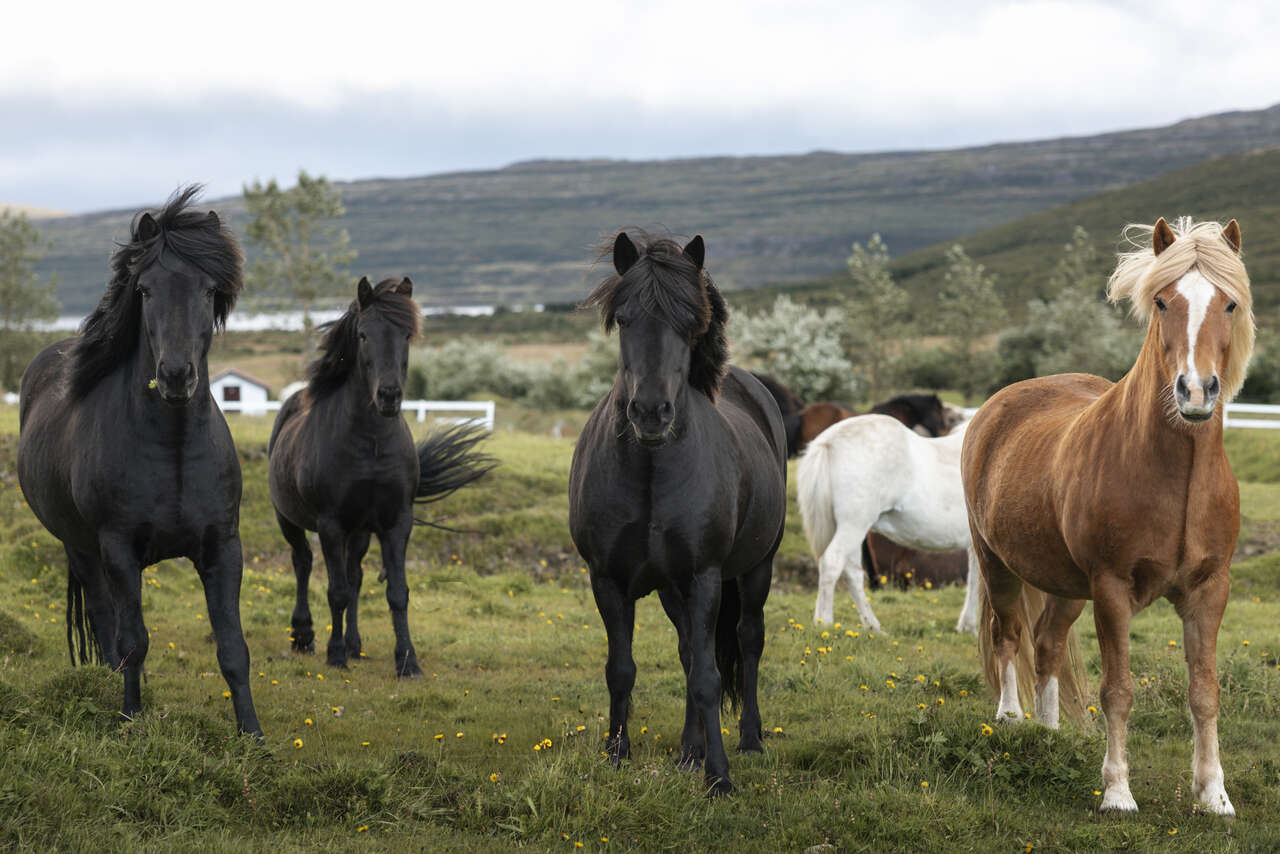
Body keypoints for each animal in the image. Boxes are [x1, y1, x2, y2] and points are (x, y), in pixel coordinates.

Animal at [16, 186, 261, 735]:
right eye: (145, 290)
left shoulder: (223, 547)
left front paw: (253, 736)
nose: (175, 376)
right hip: (82, 549)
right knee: (106, 620)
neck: (172, 449)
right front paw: (130, 719)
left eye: (208, 289)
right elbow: (133, 640)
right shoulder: (119, 548)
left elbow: (234, 648)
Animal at [269, 277, 494, 676]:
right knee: (303, 563)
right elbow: (336, 592)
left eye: (406, 334)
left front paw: (407, 660)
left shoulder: (396, 522)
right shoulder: (330, 524)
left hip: (359, 531)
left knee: (354, 576)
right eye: (362, 334)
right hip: (289, 519)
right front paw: (335, 655)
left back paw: (355, 644)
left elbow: (396, 593)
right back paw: (304, 635)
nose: (389, 395)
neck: (370, 443)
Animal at [569, 231, 787, 797]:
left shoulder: (704, 577)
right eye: (624, 318)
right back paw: (689, 752)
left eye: (690, 323)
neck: (650, 469)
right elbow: (622, 669)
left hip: (755, 570)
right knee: (691, 649)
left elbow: (710, 677)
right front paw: (616, 755)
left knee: (747, 642)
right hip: (671, 588)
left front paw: (720, 777)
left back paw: (748, 739)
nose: (650, 412)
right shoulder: (608, 580)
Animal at [797, 414, 980, 634]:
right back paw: (824, 623)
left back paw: (873, 627)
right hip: (854, 526)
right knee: (832, 562)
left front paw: (967, 626)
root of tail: (829, 441)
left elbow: (975, 580)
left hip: (853, 530)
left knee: (852, 573)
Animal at [962, 218, 1251, 815]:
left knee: (1047, 646)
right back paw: (1011, 720)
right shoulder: (1113, 589)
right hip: (997, 563)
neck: (1176, 478)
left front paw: (1213, 794)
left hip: (1067, 586)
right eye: (1162, 301)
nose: (1195, 391)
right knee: (1008, 636)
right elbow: (1117, 689)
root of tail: (999, 404)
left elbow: (1205, 692)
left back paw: (1048, 735)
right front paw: (1117, 792)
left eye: (1230, 303)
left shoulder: (1209, 590)